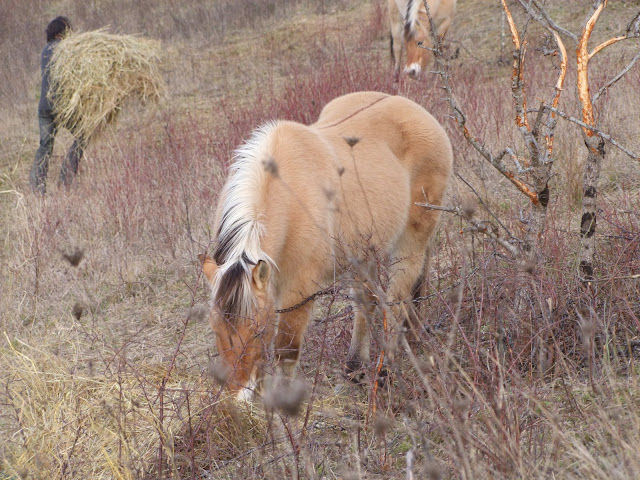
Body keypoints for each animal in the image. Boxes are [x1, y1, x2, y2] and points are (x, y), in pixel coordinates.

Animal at [202, 92, 452, 400]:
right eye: (215, 330)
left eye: (258, 331)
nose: (235, 396)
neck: (287, 193)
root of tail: (414, 109)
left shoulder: (298, 291)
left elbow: (287, 350)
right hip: (363, 251)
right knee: (367, 302)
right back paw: (356, 367)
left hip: (412, 239)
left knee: (396, 301)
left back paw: (385, 372)